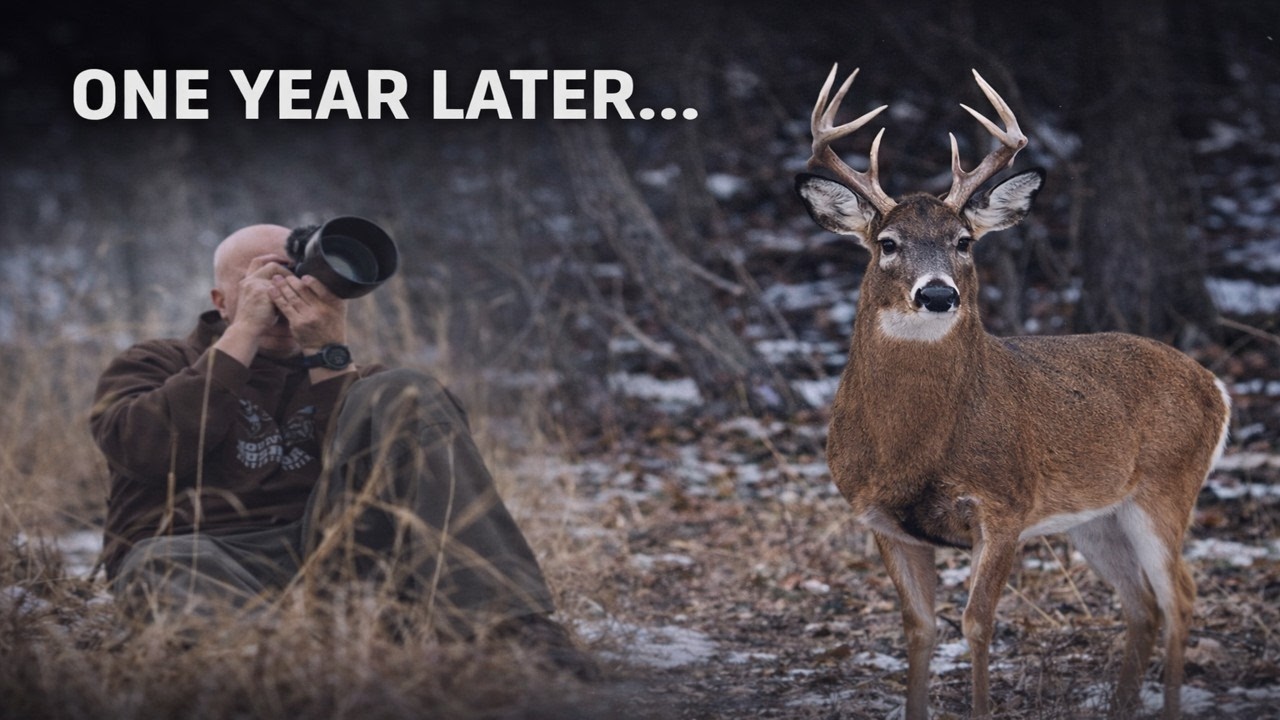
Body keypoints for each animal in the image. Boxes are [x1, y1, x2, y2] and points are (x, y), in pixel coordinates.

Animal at [793, 65, 1231, 720]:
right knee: (1143, 605)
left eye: (964, 241)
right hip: (1096, 516)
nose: (938, 293)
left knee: (1180, 594)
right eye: (888, 243)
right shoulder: (879, 518)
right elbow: (918, 630)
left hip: (1166, 487)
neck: (912, 449)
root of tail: (1215, 385)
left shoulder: (1005, 506)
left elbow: (977, 624)